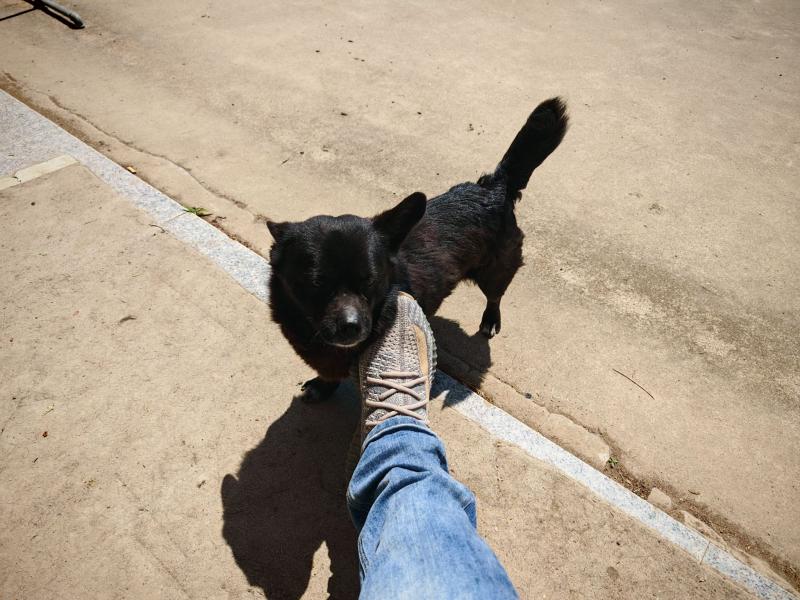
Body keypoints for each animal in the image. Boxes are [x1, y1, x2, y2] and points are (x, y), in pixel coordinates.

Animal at [267, 97, 568, 402]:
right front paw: (323, 385)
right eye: (315, 282)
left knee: (495, 296)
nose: (351, 326)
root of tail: (493, 188)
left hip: (495, 272)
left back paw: (490, 321)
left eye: (371, 281)